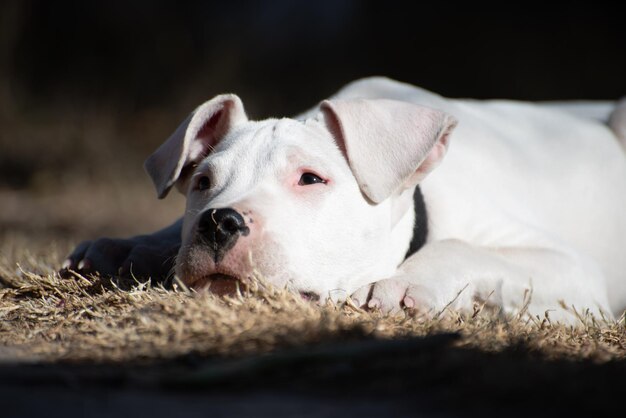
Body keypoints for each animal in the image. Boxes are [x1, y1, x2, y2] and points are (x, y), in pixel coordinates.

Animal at [64, 76, 624, 324]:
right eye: (202, 182)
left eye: (311, 179)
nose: (219, 222)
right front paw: (127, 248)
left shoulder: (574, 271)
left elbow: (462, 247)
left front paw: (400, 285)